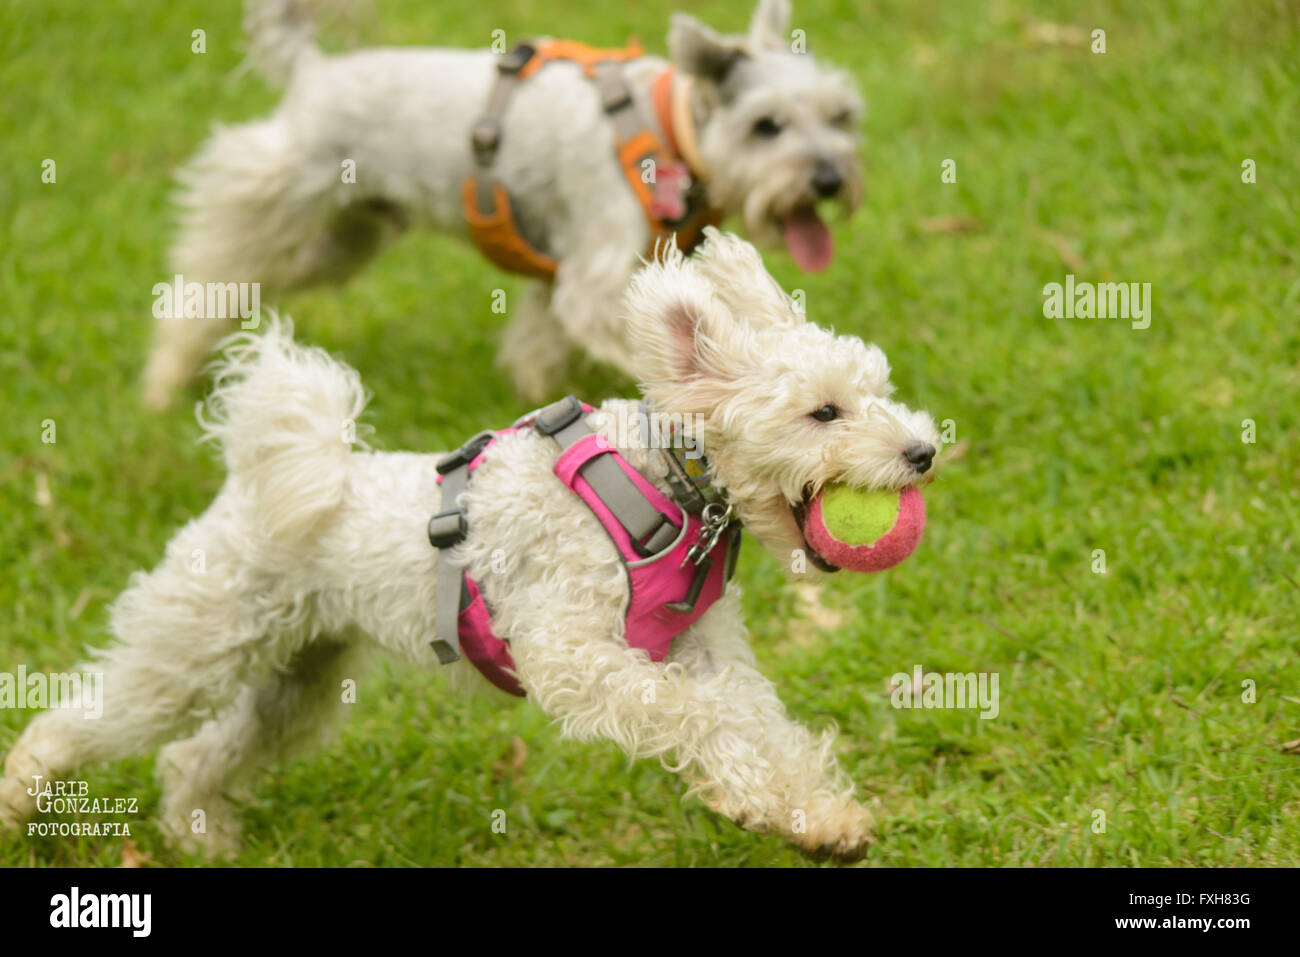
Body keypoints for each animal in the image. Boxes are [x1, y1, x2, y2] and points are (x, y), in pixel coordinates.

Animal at [10, 234, 946, 868]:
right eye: (824, 412)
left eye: (880, 390)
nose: (925, 451)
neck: (665, 484)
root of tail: (256, 476)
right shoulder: (569, 650)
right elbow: (698, 713)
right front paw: (755, 795)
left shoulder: (708, 648)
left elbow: (761, 724)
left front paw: (816, 818)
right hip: (190, 649)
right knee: (81, 718)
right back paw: (18, 799)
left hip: (298, 680)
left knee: (194, 755)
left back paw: (200, 834)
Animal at [142, 0, 863, 408]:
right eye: (767, 126)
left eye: (841, 117)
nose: (831, 179)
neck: (666, 125)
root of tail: (312, 70)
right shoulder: (596, 281)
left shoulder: (563, 278)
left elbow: (537, 345)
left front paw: (535, 398)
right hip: (268, 197)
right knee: (201, 282)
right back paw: (162, 384)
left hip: (339, 242)